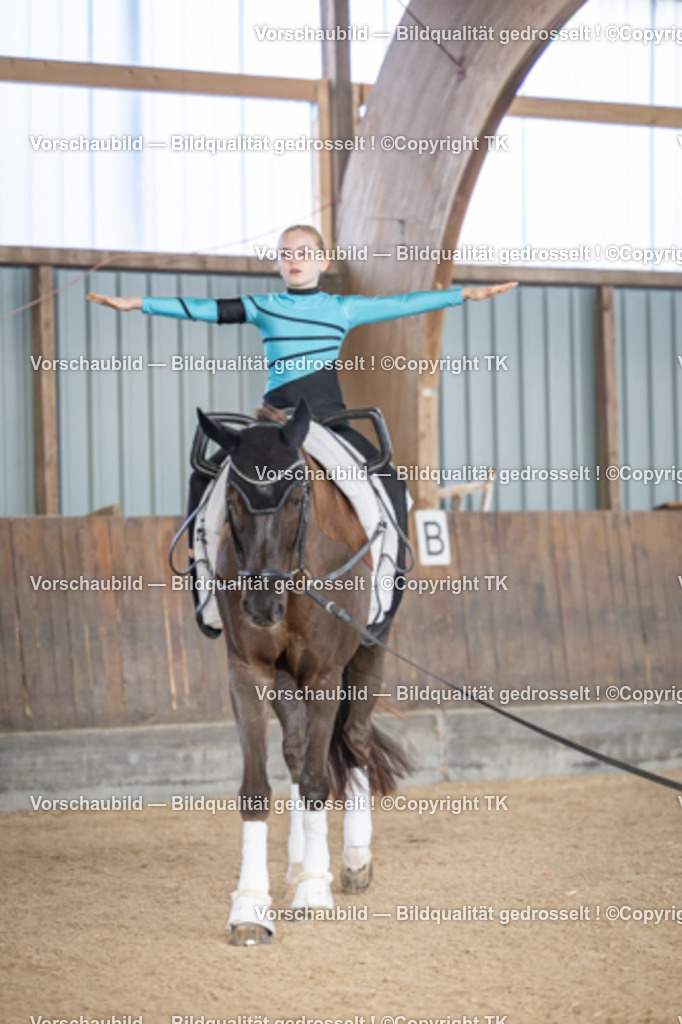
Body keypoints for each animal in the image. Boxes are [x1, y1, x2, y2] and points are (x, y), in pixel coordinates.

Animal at [196, 399, 412, 945]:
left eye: (297, 497)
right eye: (233, 497)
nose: (261, 605)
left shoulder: (324, 674)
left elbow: (318, 779)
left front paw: (316, 890)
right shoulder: (249, 671)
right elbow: (257, 787)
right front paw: (251, 906)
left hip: (368, 654)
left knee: (354, 742)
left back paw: (353, 860)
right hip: (284, 677)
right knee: (295, 750)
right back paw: (295, 865)